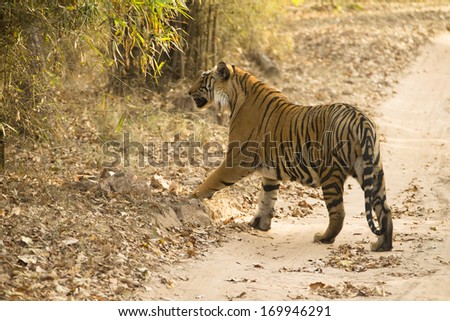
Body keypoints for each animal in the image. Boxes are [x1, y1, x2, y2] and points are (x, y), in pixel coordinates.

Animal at [188, 60, 392, 250]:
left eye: (203, 78)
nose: (189, 92)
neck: (236, 96)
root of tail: (361, 119)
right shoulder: (270, 171)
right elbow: (267, 197)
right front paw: (259, 224)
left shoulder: (237, 160)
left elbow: (212, 179)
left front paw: (191, 197)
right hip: (372, 169)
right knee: (384, 209)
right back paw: (382, 245)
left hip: (330, 174)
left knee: (338, 213)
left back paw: (323, 238)